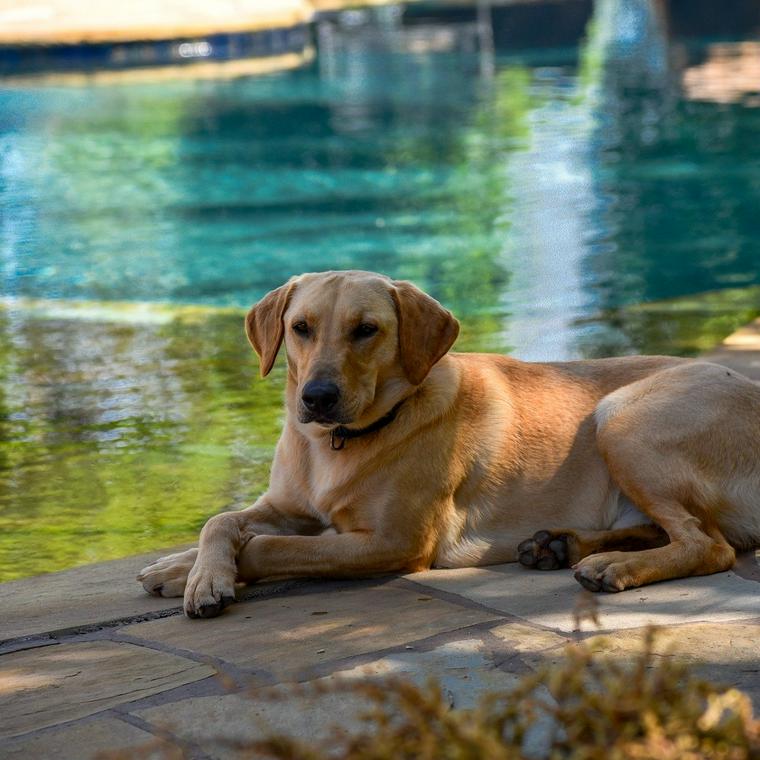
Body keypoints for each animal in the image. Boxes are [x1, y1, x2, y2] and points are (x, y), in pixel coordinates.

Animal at [138, 272, 760, 616]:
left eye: (366, 329)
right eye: (301, 328)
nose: (316, 398)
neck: (335, 444)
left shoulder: (394, 542)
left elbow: (269, 547)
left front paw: (210, 575)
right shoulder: (287, 506)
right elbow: (220, 520)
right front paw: (188, 569)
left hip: (621, 418)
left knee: (710, 546)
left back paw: (612, 566)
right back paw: (560, 546)